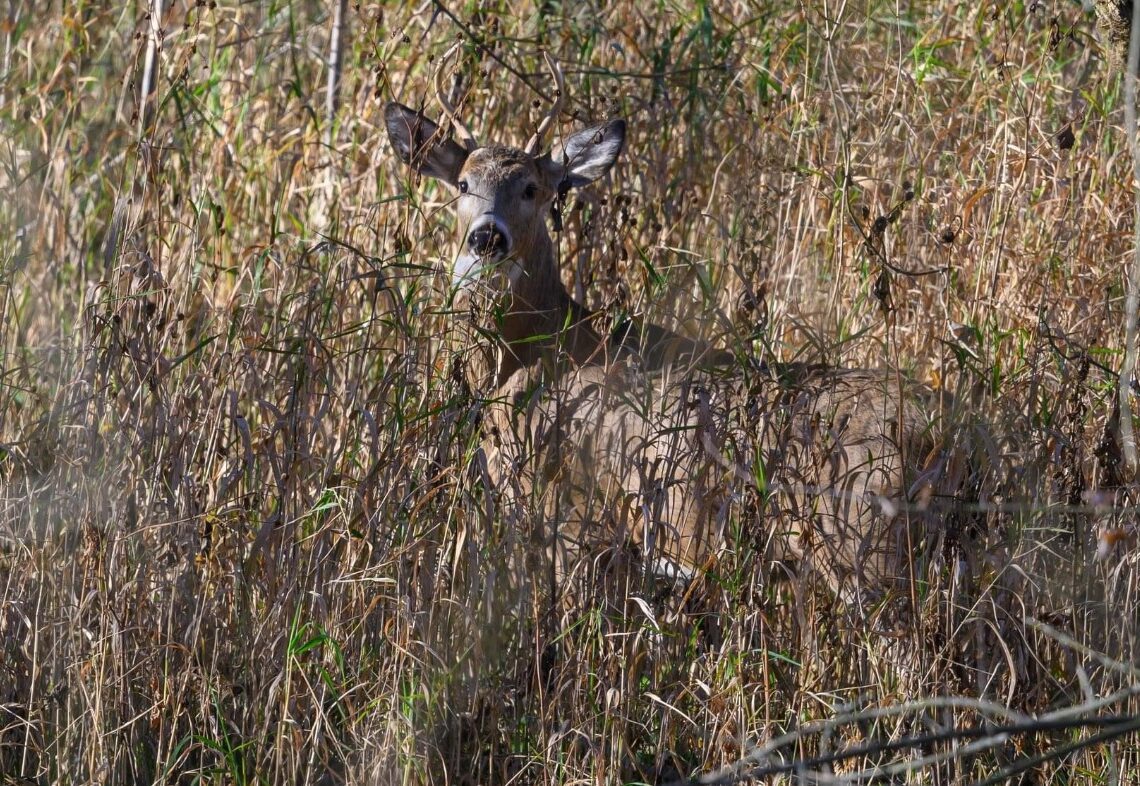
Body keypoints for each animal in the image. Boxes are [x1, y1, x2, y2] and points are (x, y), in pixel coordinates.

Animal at [384, 50, 970, 606]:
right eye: (462, 183)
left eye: (531, 188)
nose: (487, 238)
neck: (533, 354)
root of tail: (952, 431)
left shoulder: (569, 515)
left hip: (861, 544)